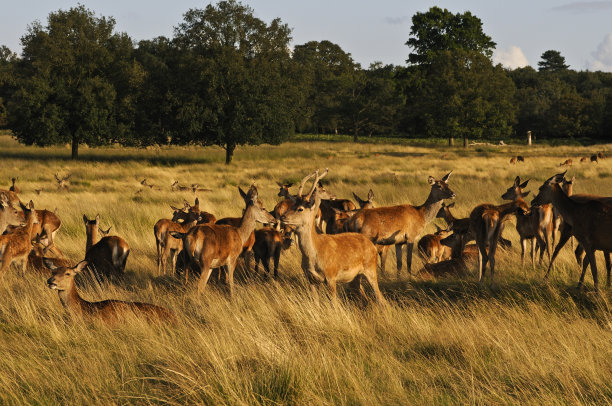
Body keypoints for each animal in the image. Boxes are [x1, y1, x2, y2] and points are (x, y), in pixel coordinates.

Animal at [280, 168, 384, 304]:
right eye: (292, 205)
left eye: (300, 209)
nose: (282, 217)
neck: (314, 254)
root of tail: (372, 245)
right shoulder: (311, 279)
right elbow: (316, 303)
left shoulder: (331, 276)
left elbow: (334, 303)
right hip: (355, 278)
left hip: (371, 269)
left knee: (381, 297)